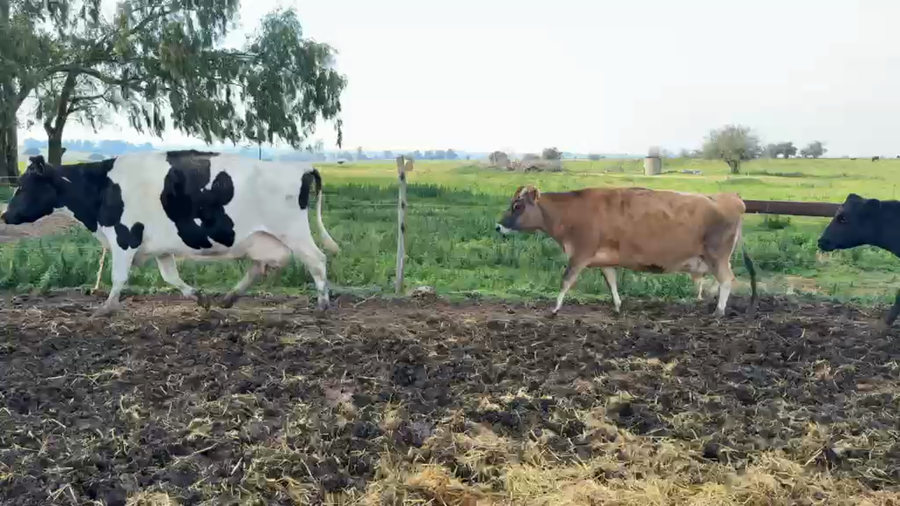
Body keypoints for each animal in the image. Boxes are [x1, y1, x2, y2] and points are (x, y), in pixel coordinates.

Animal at [0, 151, 340, 316]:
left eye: (24, 186)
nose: (5, 215)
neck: (100, 188)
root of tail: (300, 168)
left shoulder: (124, 236)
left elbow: (118, 277)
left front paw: (106, 308)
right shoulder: (160, 247)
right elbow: (170, 277)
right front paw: (199, 298)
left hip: (292, 231)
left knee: (317, 260)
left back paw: (323, 304)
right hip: (260, 238)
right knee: (260, 267)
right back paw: (229, 298)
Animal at [495, 185, 758, 317]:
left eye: (517, 206)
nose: (498, 227)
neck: (572, 212)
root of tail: (732, 198)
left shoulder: (580, 254)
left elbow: (566, 280)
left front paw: (555, 308)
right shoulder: (604, 260)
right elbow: (611, 282)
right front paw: (618, 306)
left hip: (717, 256)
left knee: (727, 280)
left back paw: (719, 311)